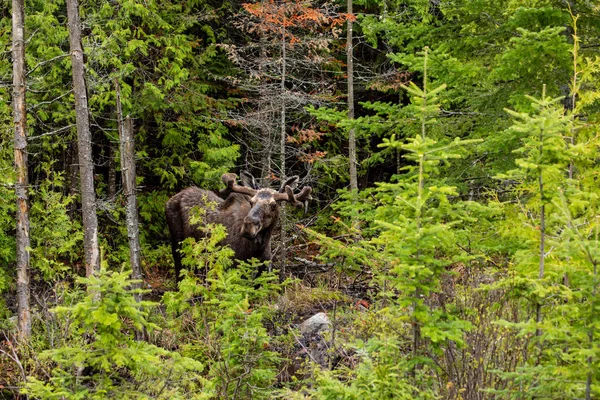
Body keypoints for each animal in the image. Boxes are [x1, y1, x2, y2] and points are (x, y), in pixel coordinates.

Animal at [165, 172, 312, 282]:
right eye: (251, 201)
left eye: (273, 205)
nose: (248, 226)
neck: (257, 248)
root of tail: (171, 199)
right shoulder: (233, 266)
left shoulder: (263, 269)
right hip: (178, 244)